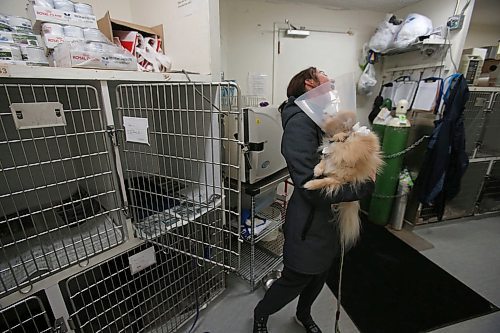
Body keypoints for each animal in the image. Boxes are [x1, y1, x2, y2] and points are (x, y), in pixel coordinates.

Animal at [304, 111, 382, 249]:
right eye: (330, 135)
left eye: (340, 139)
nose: (329, 140)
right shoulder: (330, 157)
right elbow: (324, 161)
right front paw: (317, 170)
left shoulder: (340, 180)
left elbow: (325, 181)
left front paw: (310, 184)